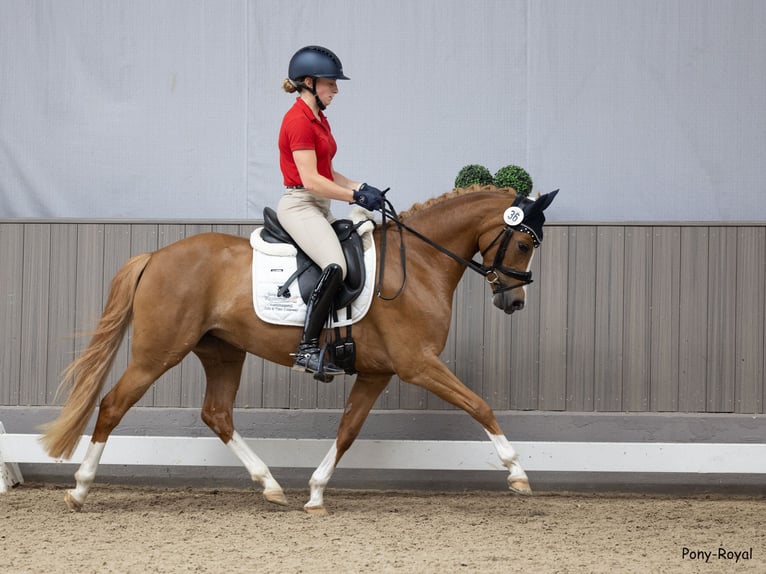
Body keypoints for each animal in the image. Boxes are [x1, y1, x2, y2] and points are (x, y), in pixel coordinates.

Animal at [40, 186, 560, 516]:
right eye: (522, 243)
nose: (513, 302)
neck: (419, 264)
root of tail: (156, 257)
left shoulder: (378, 373)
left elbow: (348, 430)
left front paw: (315, 493)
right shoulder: (418, 364)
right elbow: (479, 405)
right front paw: (517, 473)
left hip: (222, 352)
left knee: (217, 414)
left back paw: (271, 486)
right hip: (158, 352)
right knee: (112, 405)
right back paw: (79, 491)